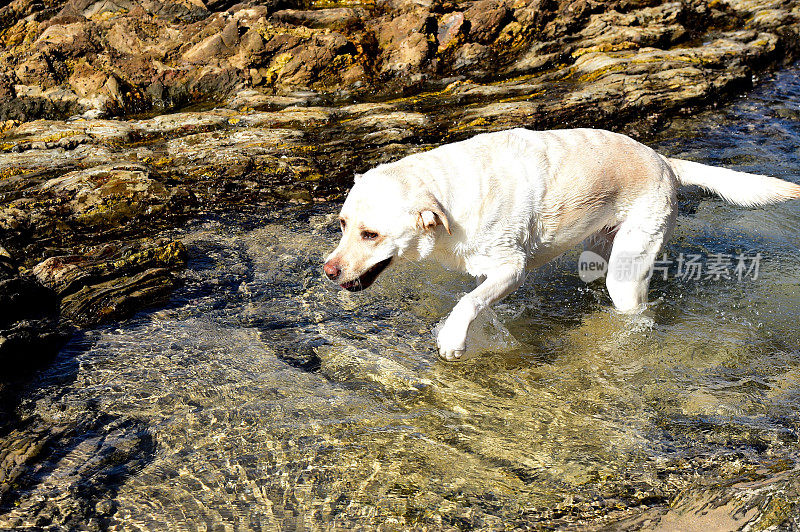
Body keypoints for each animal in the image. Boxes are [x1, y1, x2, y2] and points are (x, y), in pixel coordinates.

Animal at [324, 128, 800, 360]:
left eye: (371, 234)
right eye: (343, 224)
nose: (328, 270)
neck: (447, 196)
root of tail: (663, 160)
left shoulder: (511, 267)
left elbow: (467, 301)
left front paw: (453, 340)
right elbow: (476, 299)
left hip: (627, 270)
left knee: (640, 311)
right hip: (598, 252)